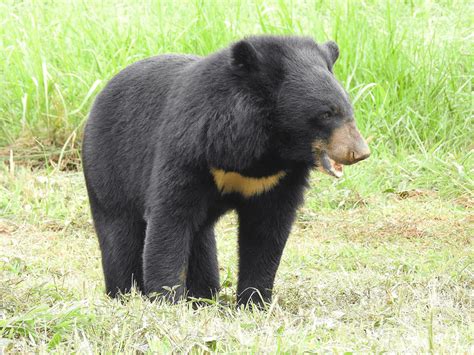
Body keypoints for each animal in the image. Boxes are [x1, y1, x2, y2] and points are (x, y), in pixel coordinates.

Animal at [81, 36, 370, 308]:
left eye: (349, 110)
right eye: (327, 113)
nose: (360, 152)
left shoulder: (278, 179)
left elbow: (266, 231)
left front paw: (254, 302)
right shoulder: (191, 147)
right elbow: (170, 217)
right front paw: (166, 300)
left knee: (201, 240)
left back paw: (203, 296)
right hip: (109, 169)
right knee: (120, 236)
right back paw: (123, 292)